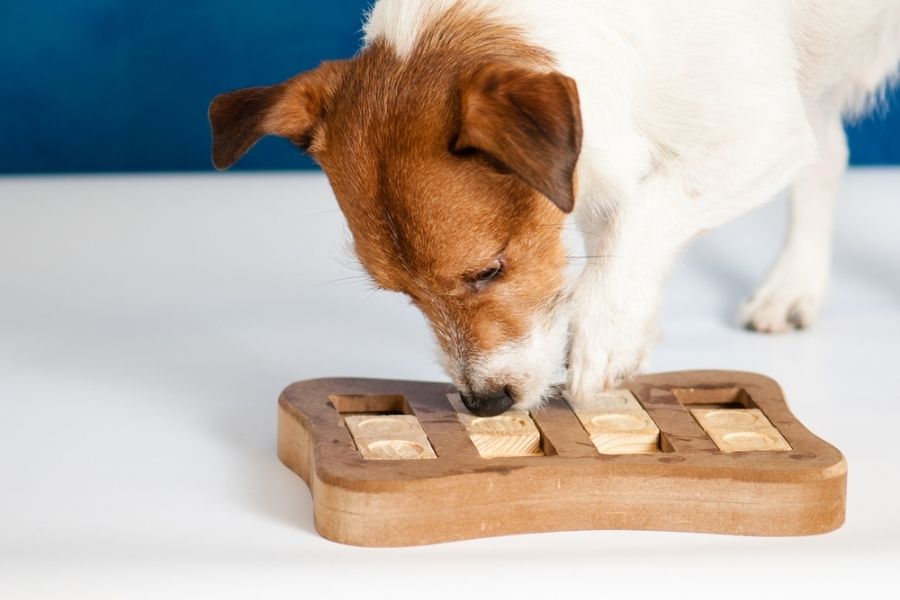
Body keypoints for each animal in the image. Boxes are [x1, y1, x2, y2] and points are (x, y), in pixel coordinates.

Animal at [209, 0, 900, 414]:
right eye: (401, 294)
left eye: (488, 270)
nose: (483, 404)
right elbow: (611, 238)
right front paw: (631, 325)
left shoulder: (763, 134)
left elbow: (647, 211)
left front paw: (607, 333)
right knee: (831, 154)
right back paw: (793, 287)